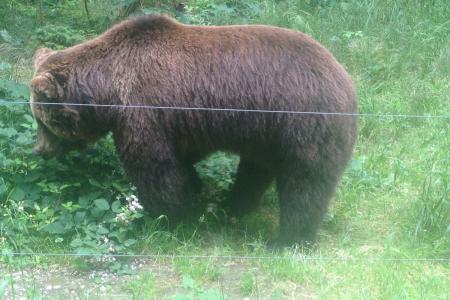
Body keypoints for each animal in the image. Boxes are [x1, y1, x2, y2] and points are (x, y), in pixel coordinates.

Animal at [29, 14, 356, 246]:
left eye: (42, 120)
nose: (40, 150)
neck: (108, 87)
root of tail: (346, 81)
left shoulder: (144, 111)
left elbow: (155, 169)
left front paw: (166, 217)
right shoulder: (184, 122)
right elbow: (183, 160)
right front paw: (193, 193)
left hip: (303, 123)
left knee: (305, 183)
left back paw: (287, 239)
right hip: (265, 133)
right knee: (255, 170)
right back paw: (231, 207)